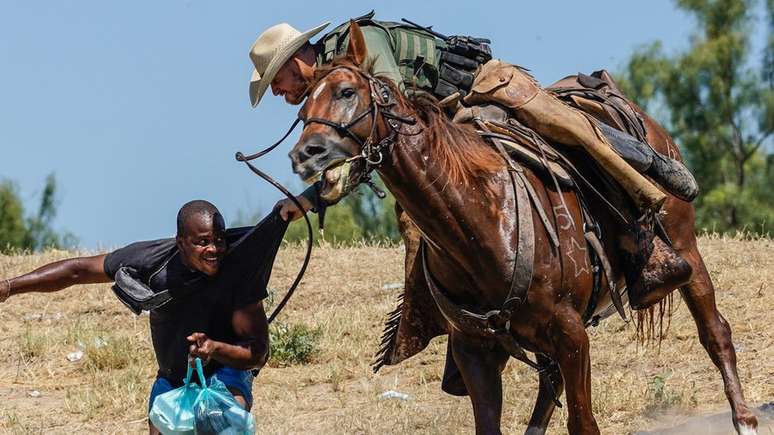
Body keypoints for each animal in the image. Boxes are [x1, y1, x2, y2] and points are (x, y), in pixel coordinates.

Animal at [287, 22, 758, 435]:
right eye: (303, 108)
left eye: (347, 92)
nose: (306, 155)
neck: (479, 222)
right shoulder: (475, 349)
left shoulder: (571, 335)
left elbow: (583, 423)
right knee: (549, 389)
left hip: (686, 248)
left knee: (716, 333)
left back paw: (745, 419)